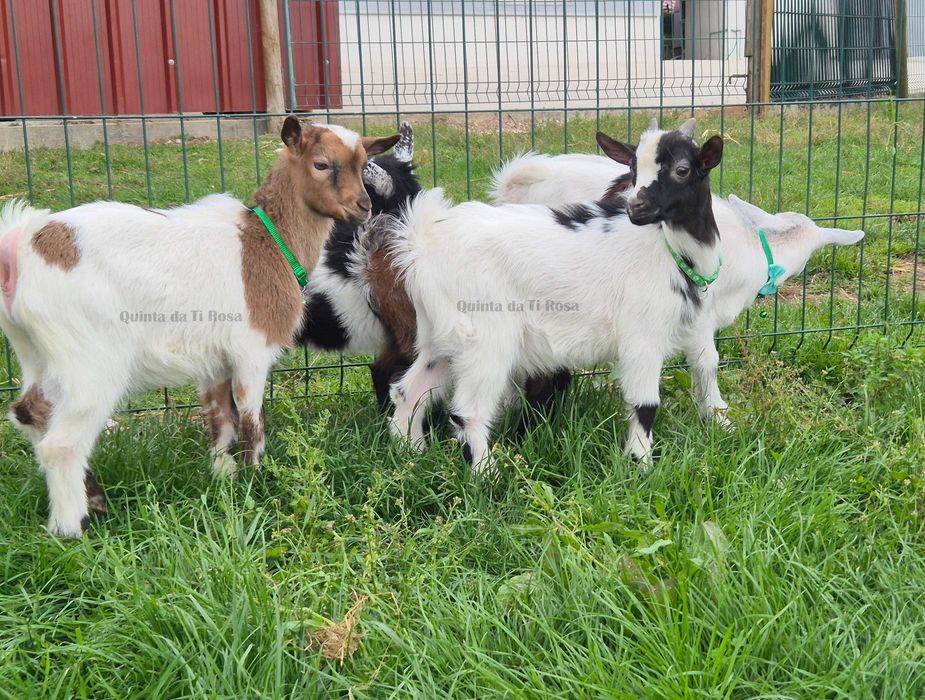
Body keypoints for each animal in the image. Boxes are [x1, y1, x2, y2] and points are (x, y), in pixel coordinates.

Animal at [0, 117, 400, 537]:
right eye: (321, 164)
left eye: (363, 164)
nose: (363, 207)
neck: (268, 243)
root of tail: (20, 246)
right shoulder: (252, 349)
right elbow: (252, 419)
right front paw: (256, 478)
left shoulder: (214, 362)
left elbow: (220, 418)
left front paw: (224, 476)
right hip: (88, 358)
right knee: (61, 442)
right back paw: (71, 528)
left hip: (35, 351)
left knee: (29, 412)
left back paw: (93, 498)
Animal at [383, 119, 864, 474]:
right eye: (632, 167)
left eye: (683, 168)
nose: (635, 208)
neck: (674, 251)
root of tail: (423, 242)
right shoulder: (643, 337)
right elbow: (646, 403)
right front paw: (642, 464)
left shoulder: (689, 323)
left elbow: (704, 365)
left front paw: (716, 422)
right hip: (486, 340)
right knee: (467, 411)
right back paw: (490, 475)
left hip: (441, 337)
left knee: (408, 390)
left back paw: (410, 455)